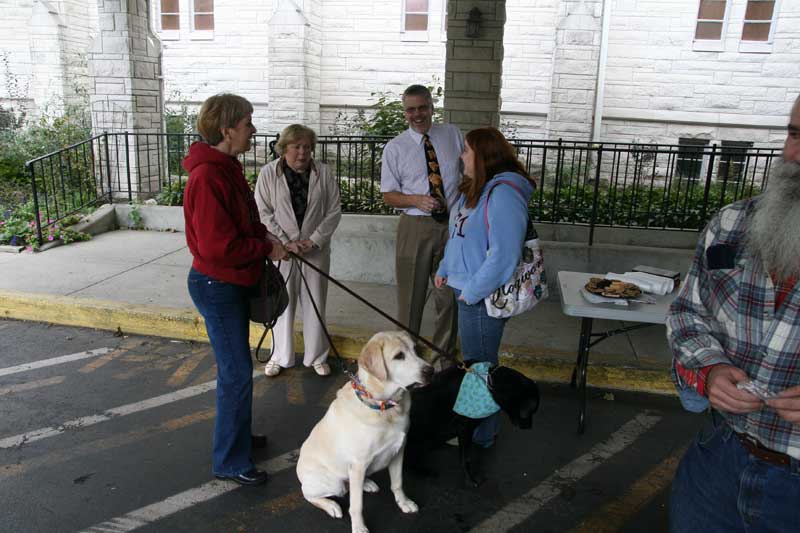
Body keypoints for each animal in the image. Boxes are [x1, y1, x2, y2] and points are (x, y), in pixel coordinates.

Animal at [296, 330, 432, 528]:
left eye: (416, 350)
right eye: (399, 356)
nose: (432, 371)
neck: (385, 407)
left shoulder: (399, 450)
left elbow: (398, 483)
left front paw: (404, 503)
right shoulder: (359, 464)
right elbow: (356, 505)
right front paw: (359, 527)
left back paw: (367, 483)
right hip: (333, 482)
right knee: (309, 495)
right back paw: (331, 506)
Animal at [410, 358, 540, 486]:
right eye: (531, 411)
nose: (529, 427)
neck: (488, 381)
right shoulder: (465, 430)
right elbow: (466, 458)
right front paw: (469, 479)